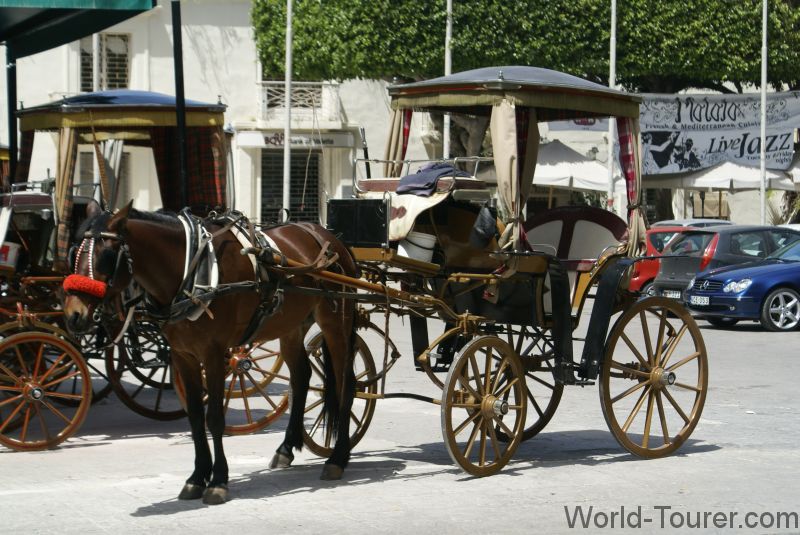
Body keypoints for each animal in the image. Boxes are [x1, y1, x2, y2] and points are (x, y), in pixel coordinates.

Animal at [62, 201, 358, 505]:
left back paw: (337, 458)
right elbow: (195, 416)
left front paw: (218, 481)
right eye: (74, 252)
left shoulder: (214, 353)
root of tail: (329, 236)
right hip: (291, 326)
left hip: (336, 322)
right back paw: (286, 448)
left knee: (346, 384)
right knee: (301, 378)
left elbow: (214, 417)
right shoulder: (183, 356)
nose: (74, 316)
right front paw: (196, 477)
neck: (191, 272)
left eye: (106, 256)